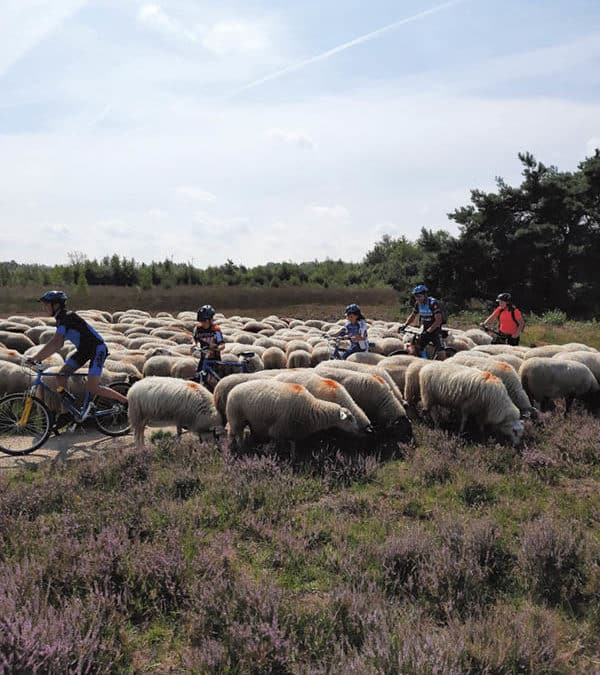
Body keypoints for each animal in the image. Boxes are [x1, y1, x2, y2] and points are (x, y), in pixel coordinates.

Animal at [225, 378, 360, 452]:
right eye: (349, 418)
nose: (358, 429)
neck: (311, 407)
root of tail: (233, 389)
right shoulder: (278, 430)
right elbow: (282, 447)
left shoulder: (292, 431)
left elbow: (293, 447)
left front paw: (293, 458)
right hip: (236, 418)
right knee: (237, 435)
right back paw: (240, 449)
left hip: (245, 420)